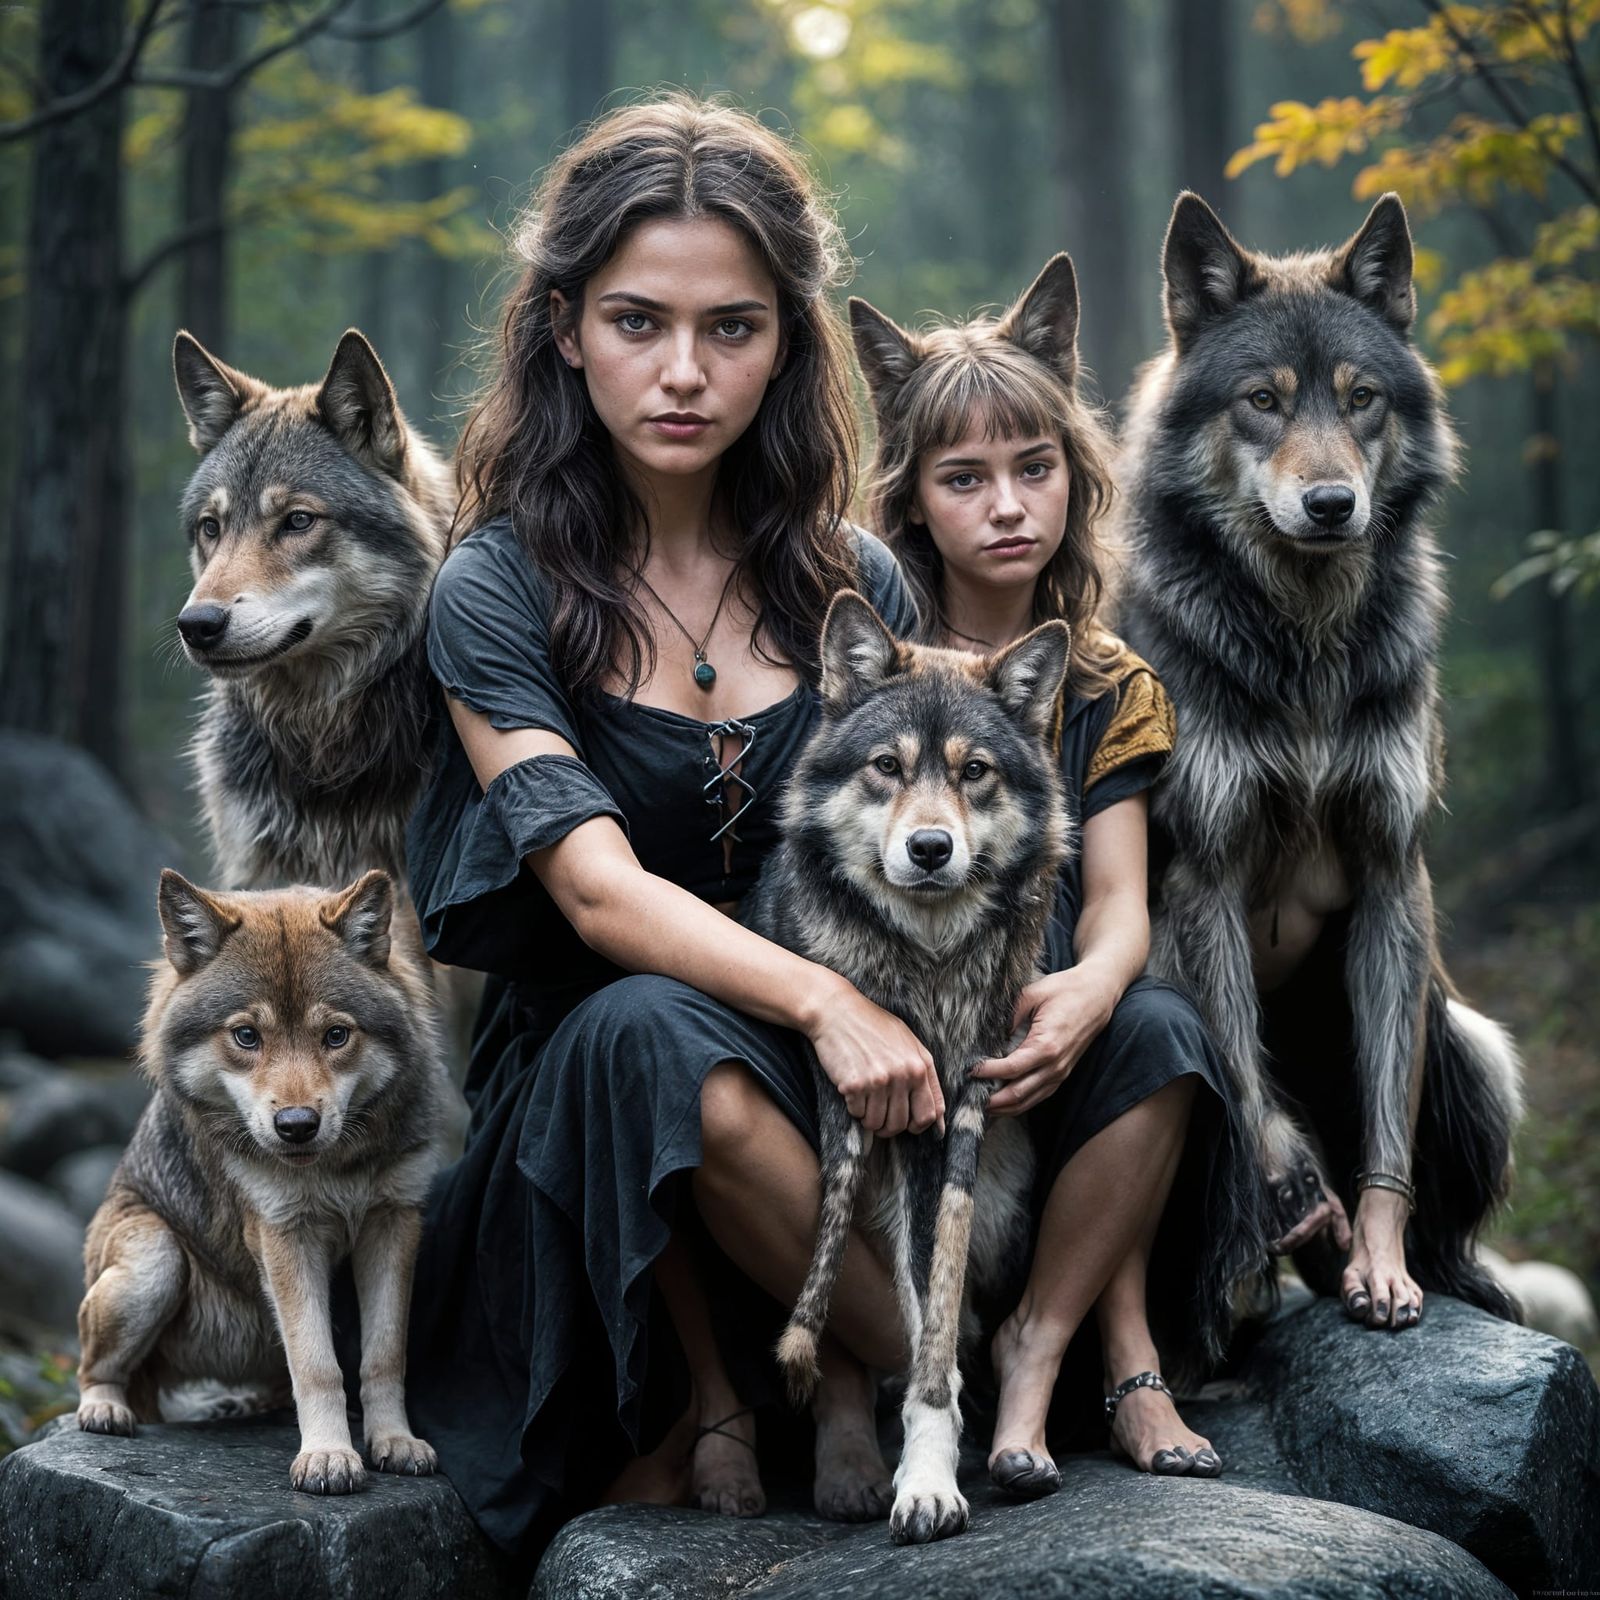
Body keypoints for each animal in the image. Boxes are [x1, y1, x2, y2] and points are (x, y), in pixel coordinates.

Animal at [75, 868, 448, 1493]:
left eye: (336, 1036)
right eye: (247, 1036)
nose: (296, 1126)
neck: (336, 1166)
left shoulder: (392, 1223)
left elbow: (383, 1356)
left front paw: (394, 1442)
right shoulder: (285, 1234)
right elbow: (317, 1364)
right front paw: (328, 1456)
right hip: (154, 1262)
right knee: (93, 1366)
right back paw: (104, 1409)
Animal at [744, 591, 1070, 1545]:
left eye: (975, 773)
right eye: (887, 766)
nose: (930, 849)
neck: (924, 966)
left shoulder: (957, 1116)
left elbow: (939, 1317)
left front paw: (929, 1478)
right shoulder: (887, 1120)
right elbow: (924, 1319)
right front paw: (923, 1476)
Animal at [1117, 191, 1521, 1328]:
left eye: (1361, 400)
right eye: (1263, 400)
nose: (1332, 504)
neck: (1302, 645)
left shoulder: (1392, 868)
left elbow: (1387, 1133)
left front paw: (1379, 1259)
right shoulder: (1200, 872)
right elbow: (1257, 1105)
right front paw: (1293, 1193)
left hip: (1471, 1043)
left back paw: (1460, 1275)